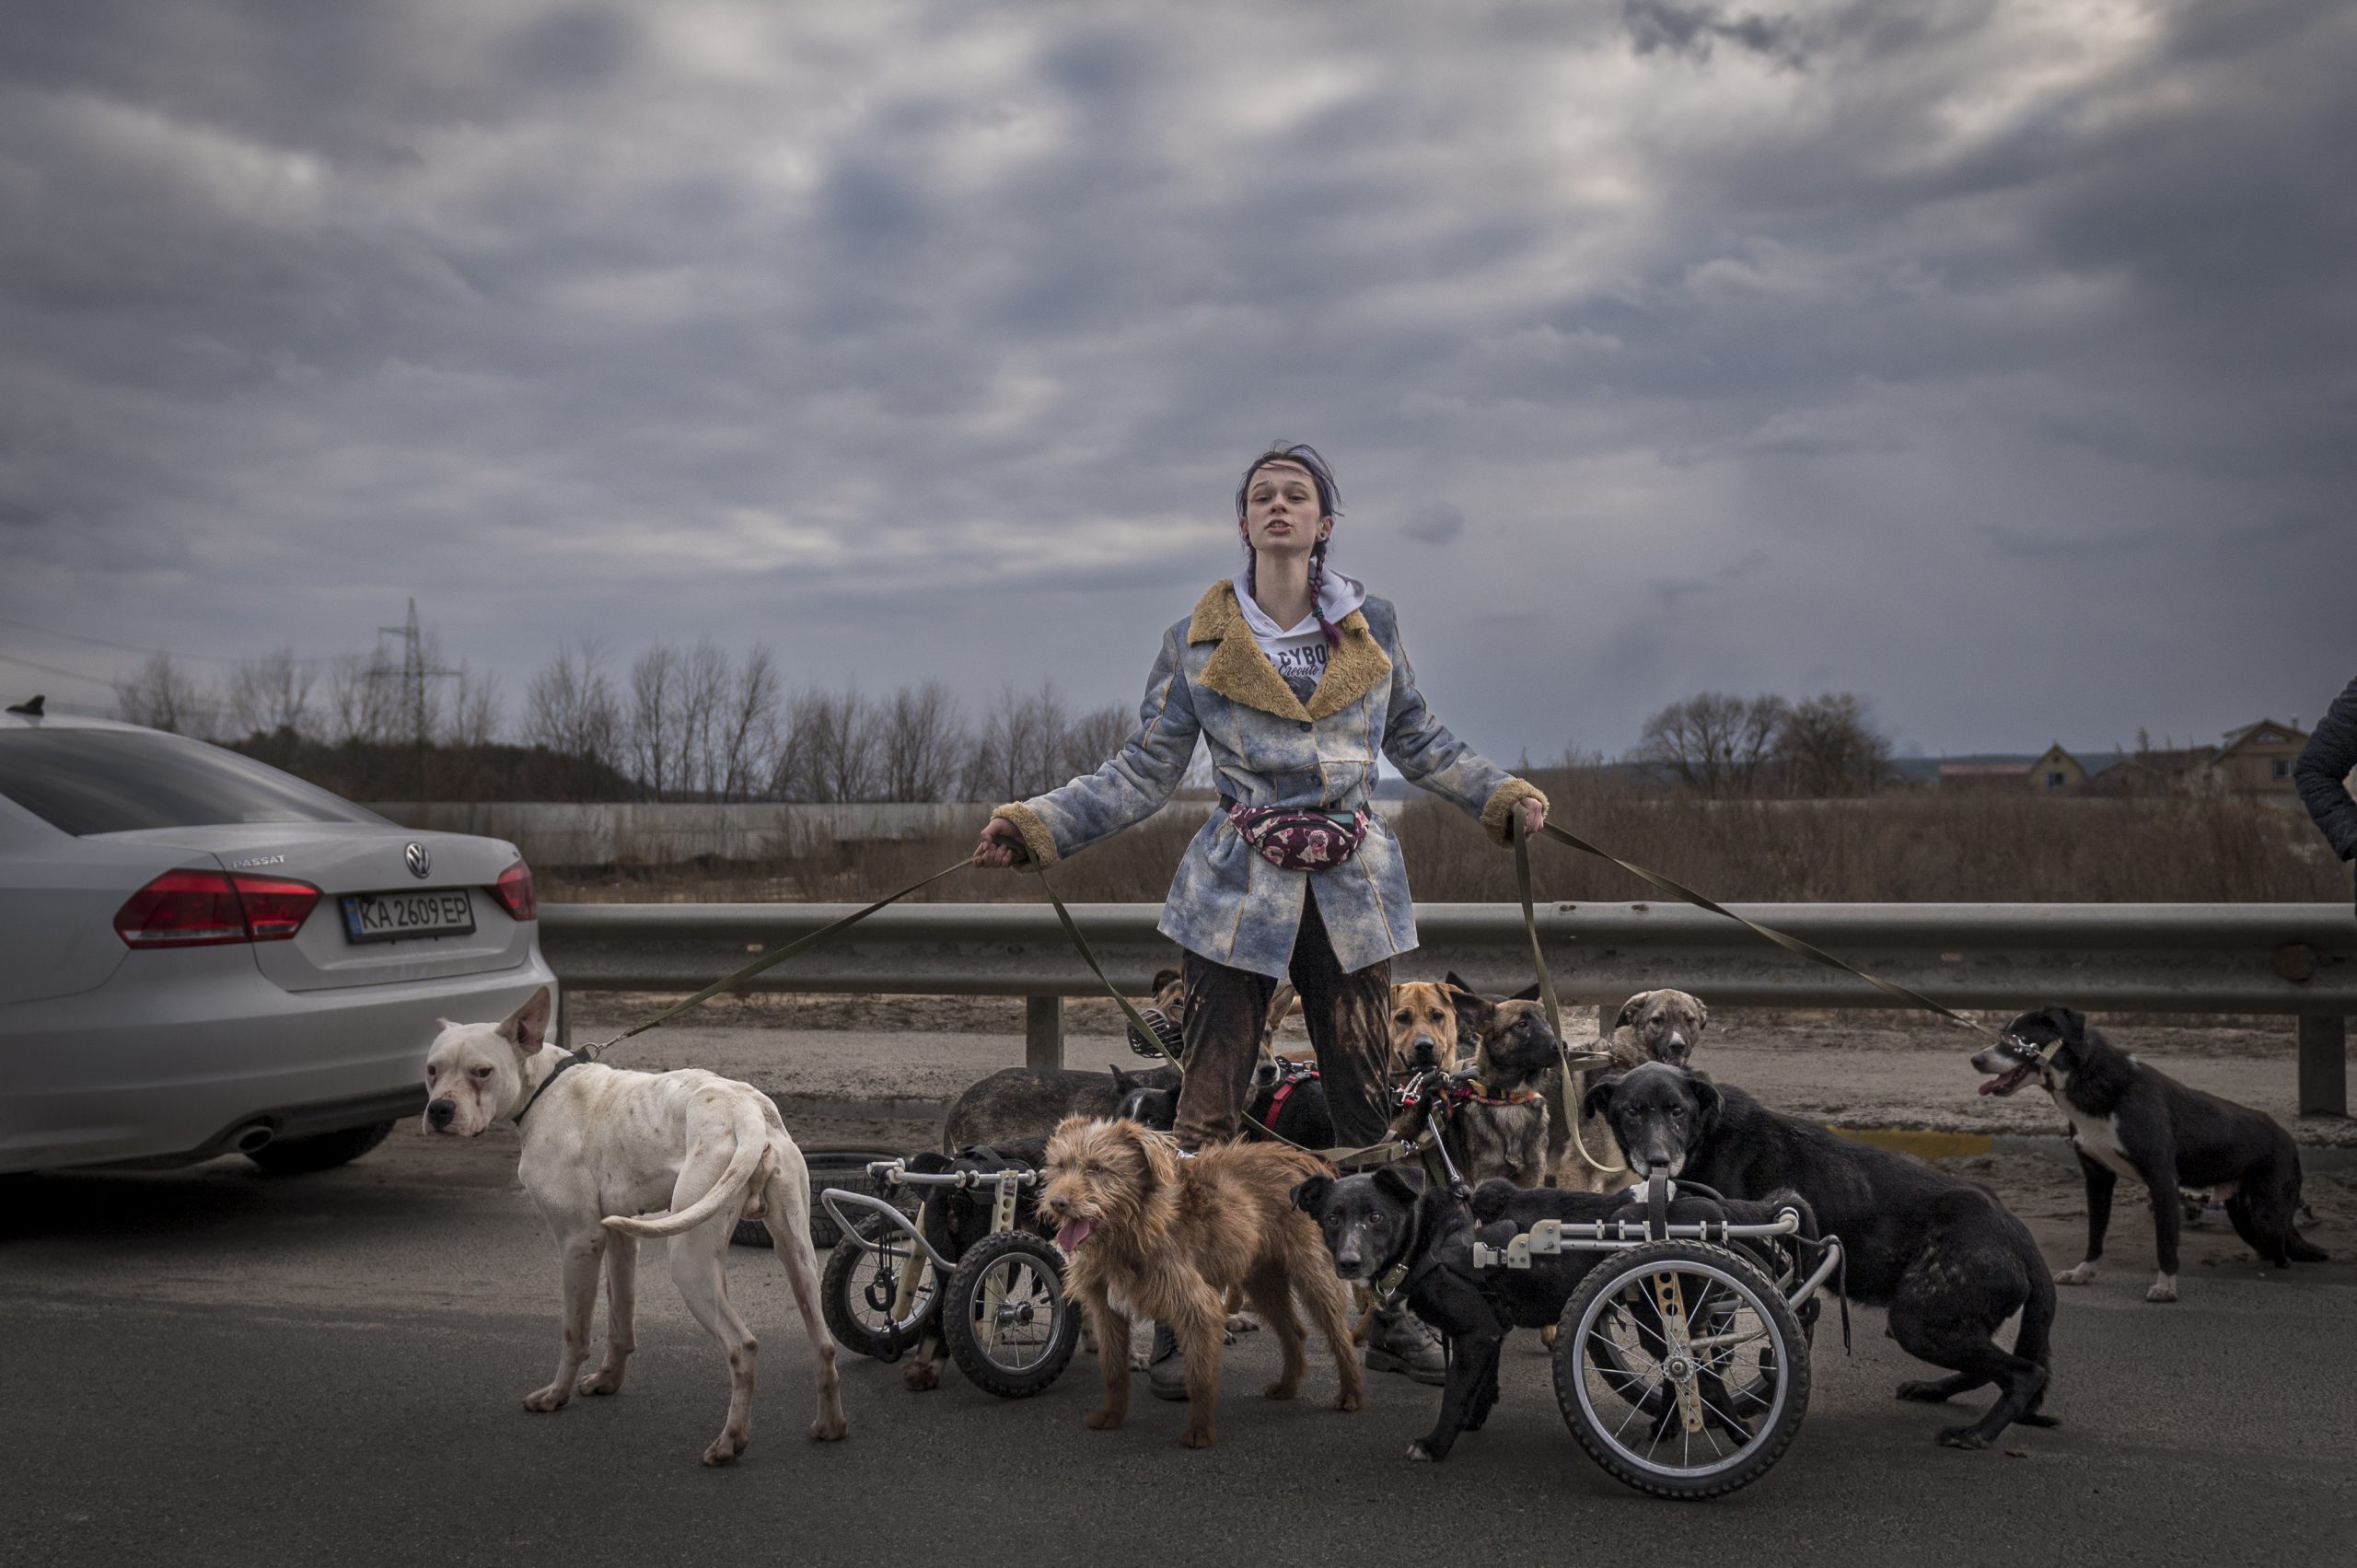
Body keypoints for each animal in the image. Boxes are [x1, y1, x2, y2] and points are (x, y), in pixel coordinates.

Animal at [424, 985, 848, 1461]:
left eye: (482, 1072)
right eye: (431, 1070)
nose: (438, 1111)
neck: (545, 1088)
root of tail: (747, 1115)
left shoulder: (578, 1241)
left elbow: (575, 1332)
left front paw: (556, 1396)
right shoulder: (620, 1236)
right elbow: (620, 1321)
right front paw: (609, 1380)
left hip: (689, 1263)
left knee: (743, 1346)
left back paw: (730, 1440)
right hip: (795, 1253)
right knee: (823, 1343)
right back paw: (830, 1426)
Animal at [1037, 1112, 1366, 1443]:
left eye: (1097, 1168)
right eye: (1061, 1166)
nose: (1057, 1203)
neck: (1133, 1226)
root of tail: (1303, 1160)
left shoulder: (1199, 1307)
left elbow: (1199, 1377)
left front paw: (1200, 1431)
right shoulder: (1107, 1310)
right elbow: (1114, 1370)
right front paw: (1112, 1415)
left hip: (1314, 1275)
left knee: (1340, 1335)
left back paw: (1351, 1393)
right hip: (1262, 1282)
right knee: (1294, 1332)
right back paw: (1287, 1387)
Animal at [1584, 1056, 2064, 1452]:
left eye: (1677, 1111)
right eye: (1632, 1112)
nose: (1658, 1160)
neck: (1710, 1134)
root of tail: (2016, 1232)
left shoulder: (1715, 1285)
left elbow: (1693, 1355)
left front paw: (1678, 1422)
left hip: (1918, 1322)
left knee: (2025, 1372)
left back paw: (1977, 1434)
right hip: (1948, 1323)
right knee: (1994, 1367)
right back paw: (1936, 1391)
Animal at [1970, 1004, 2319, 1292]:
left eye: (2017, 1039)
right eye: (2003, 1036)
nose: (1975, 1059)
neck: (2093, 1082)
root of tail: (2287, 1137)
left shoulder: (2162, 1179)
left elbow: (2165, 1240)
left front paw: (2165, 1287)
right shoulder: (2097, 1177)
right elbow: (2095, 1233)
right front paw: (2084, 1271)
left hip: (2267, 1214)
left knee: (2283, 1250)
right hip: (2242, 1212)